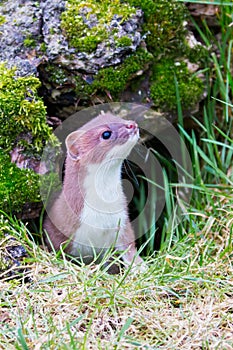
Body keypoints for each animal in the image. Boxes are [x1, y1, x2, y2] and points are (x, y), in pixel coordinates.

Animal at [43, 112, 145, 270]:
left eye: (119, 117)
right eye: (106, 134)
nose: (132, 124)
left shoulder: (121, 218)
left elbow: (129, 245)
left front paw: (139, 266)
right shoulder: (56, 228)